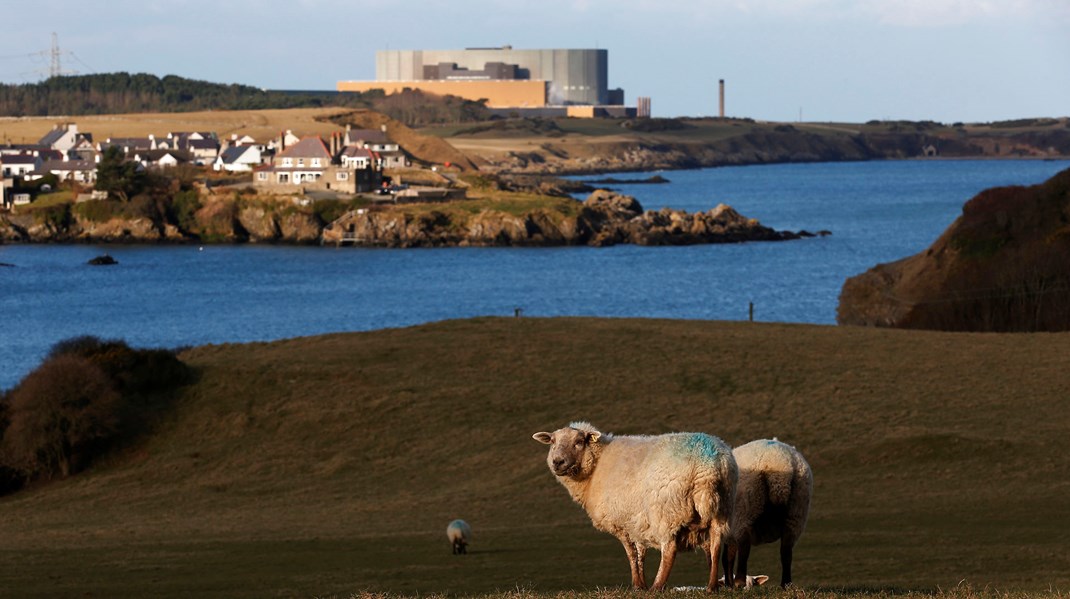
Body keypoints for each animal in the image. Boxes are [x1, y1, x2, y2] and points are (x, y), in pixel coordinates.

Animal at [532, 421, 740, 590]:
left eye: (579, 441)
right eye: (552, 441)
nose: (557, 462)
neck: (595, 467)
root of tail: (708, 465)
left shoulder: (622, 522)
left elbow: (631, 554)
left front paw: (638, 585)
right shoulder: (637, 520)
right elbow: (640, 553)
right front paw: (641, 584)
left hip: (667, 510)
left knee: (669, 548)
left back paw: (657, 586)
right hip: (723, 508)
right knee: (715, 545)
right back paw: (712, 587)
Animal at [727, 438, 808, 586]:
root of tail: (778, 462)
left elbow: (728, 555)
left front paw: (728, 583)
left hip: (746, 507)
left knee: (744, 546)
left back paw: (739, 582)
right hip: (796, 512)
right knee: (786, 550)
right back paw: (786, 584)